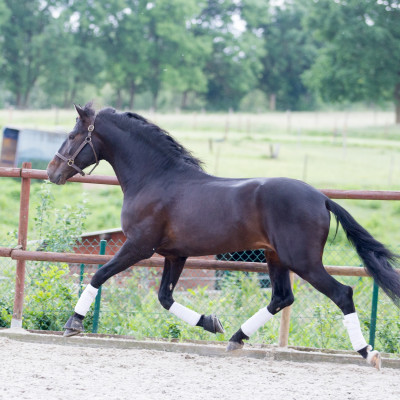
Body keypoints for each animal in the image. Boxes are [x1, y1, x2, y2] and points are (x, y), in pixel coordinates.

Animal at [47, 102, 400, 368]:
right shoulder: (175, 254)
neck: (156, 178)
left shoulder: (139, 246)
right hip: (275, 257)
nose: (52, 172)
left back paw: (368, 353)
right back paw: (235, 338)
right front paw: (211, 322)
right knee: (282, 297)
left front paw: (73, 324)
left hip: (303, 261)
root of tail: (321, 198)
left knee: (342, 294)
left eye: (72, 135)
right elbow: (165, 298)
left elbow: (99, 275)